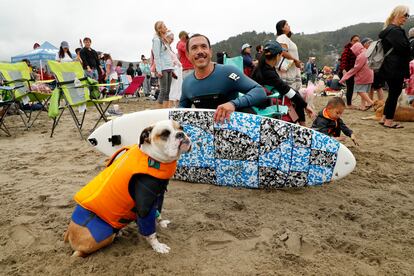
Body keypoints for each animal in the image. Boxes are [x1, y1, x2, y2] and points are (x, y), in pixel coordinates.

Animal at [64, 120, 192, 256]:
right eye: (164, 134)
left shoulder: (158, 196)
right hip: (101, 234)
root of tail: (69, 233)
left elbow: (158, 212)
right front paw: (157, 246)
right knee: (81, 252)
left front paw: (161, 222)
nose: (181, 134)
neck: (152, 157)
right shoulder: (144, 207)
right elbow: (150, 232)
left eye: (182, 128)